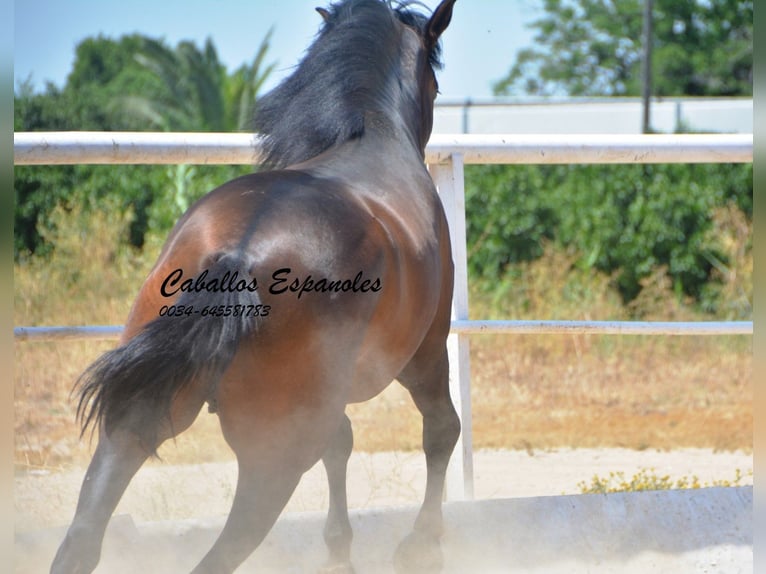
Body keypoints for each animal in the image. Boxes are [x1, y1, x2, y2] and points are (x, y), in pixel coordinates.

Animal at [52, 2, 462, 572]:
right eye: (435, 78)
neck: (373, 138)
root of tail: (239, 251)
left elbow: (342, 443)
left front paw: (340, 551)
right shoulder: (425, 351)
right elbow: (441, 430)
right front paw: (421, 544)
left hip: (134, 422)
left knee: (83, 537)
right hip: (274, 455)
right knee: (225, 549)